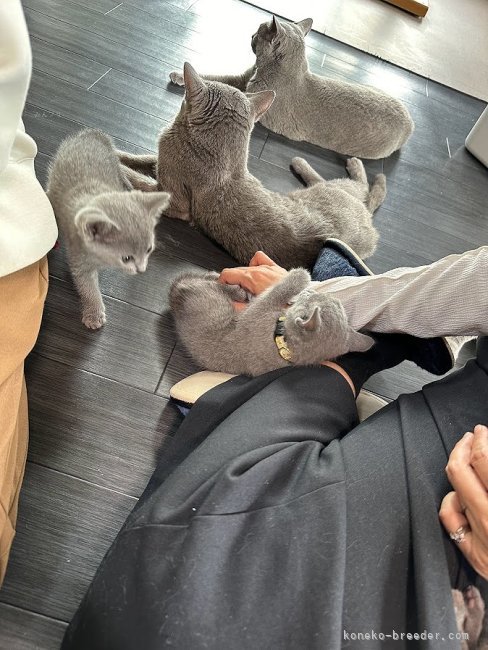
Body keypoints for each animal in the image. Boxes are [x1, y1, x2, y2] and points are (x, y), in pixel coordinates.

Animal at [47, 129, 170, 329]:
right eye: (127, 258)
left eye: (149, 250)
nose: (141, 269)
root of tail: (93, 133)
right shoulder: (78, 257)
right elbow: (87, 286)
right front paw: (94, 313)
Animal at [118, 63, 386, 270]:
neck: (227, 162)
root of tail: (369, 226)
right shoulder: (162, 162)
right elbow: (142, 159)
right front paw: (118, 152)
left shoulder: (174, 202)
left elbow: (139, 181)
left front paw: (117, 165)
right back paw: (303, 163)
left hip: (337, 191)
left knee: (363, 187)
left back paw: (352, 164)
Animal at [169, 17, 414, 160]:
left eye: (258, 32)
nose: (250, 34)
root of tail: (410, 122)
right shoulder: (241, 79)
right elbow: (215, 76)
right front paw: (180, 76)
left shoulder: (249, 96)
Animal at [169, 267, 374, 376]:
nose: (312, 291)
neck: (284, 347)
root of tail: (175, 293)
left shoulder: (256, 312)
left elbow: (275, 292)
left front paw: (301, 275)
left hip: (206, 294)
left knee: (207, 282)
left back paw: (231, 287)